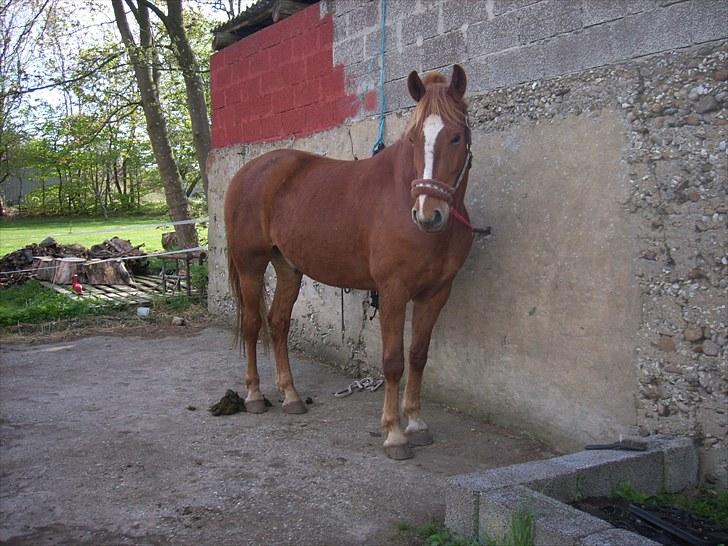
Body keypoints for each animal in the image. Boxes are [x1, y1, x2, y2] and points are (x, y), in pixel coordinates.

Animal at [225, 63, 472, 456]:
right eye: (414, 139)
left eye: (456, 137)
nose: (427, 214)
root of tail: (248, 173)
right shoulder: (392, 291)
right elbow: (393, 362)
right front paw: (394, 433)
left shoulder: (436, 293)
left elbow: (418, 356)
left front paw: (416, 423)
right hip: (251, 264)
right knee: (252, 324)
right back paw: (254, 395)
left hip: (288, 268)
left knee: (278, 324)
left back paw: (291, 396)